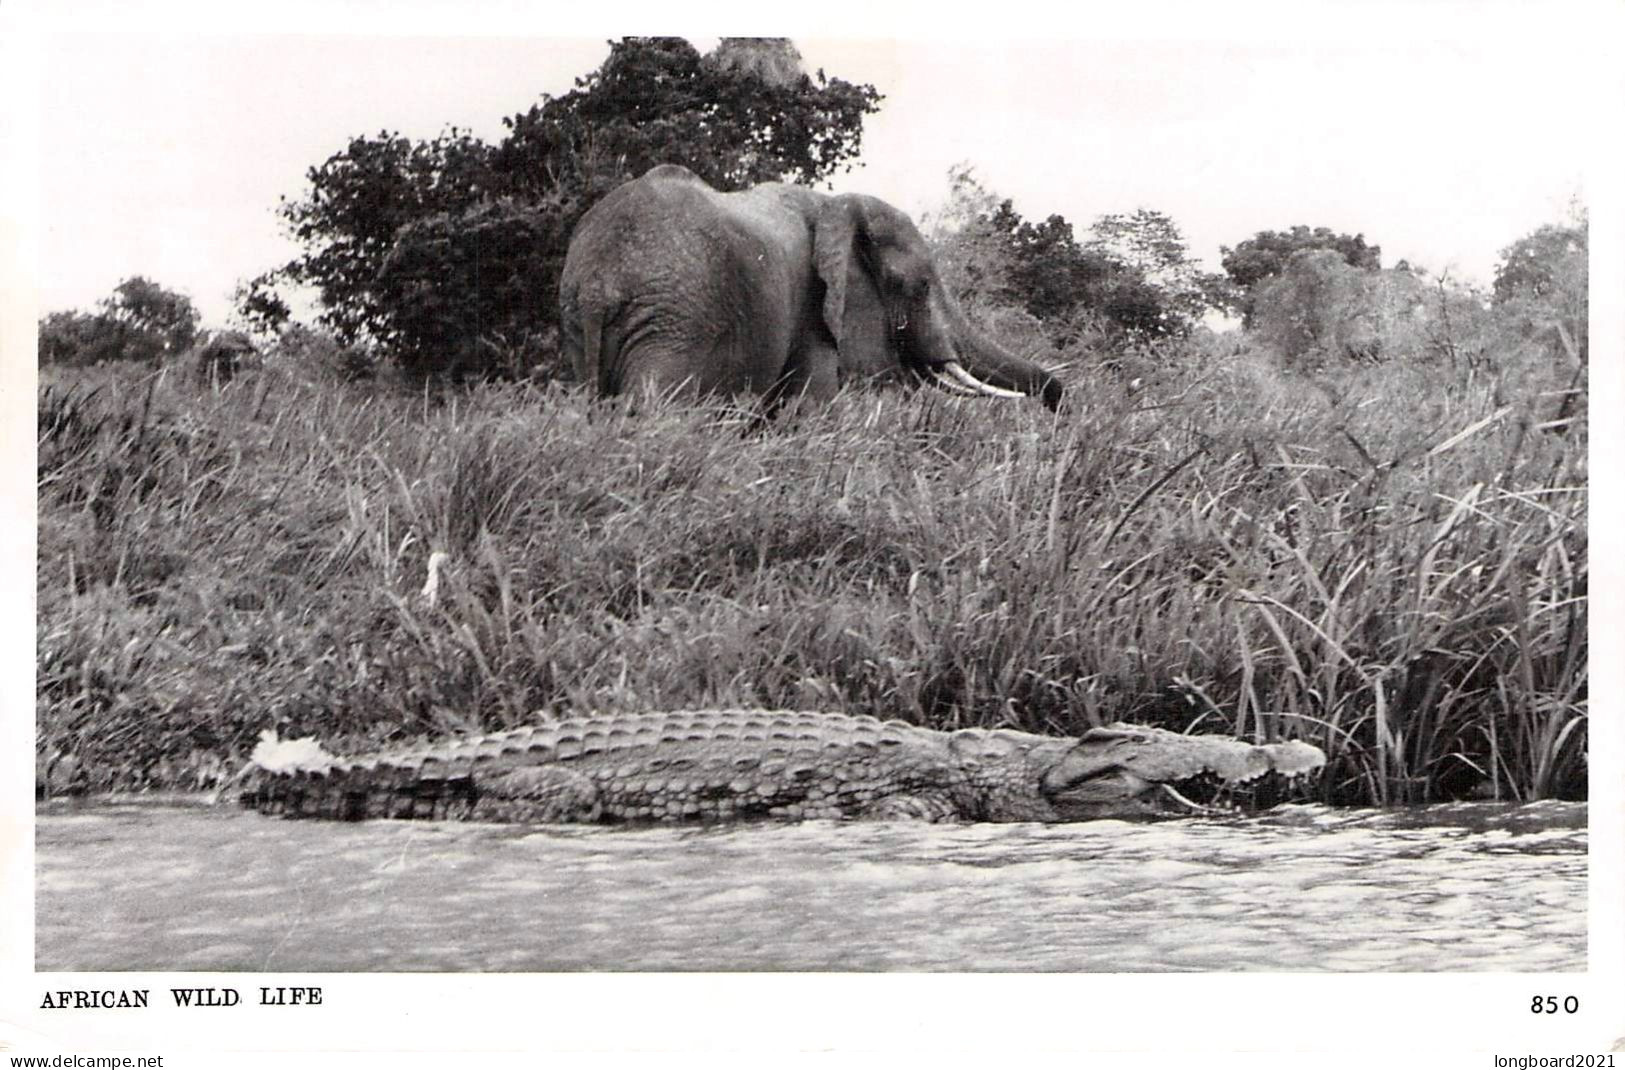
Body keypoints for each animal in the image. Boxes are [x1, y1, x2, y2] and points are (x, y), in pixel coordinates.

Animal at [559, 164, 1066, 409]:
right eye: (920, 286)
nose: (1060, 403)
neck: (837, 204)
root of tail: (601, 281)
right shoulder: (813, 310)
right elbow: (810, 409)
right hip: (676, 321)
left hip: (582, 320)